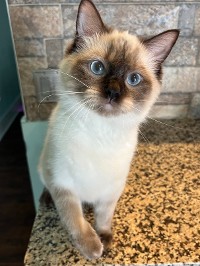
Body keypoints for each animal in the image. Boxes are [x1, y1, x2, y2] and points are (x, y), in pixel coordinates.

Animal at [38, 0, 179, 258]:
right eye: (97, 67)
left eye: (133, 79)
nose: (113, 93)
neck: (100, 131)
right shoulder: (63, 186)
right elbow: (76, 221)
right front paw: (93, 249)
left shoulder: (111, 190)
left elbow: (104, 216)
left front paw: (104, 238)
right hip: (46, 167)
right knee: (45, 183)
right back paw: (45, 199)